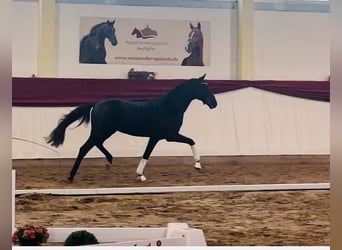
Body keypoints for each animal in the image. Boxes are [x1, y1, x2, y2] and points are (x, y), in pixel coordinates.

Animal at [46, 74, 216, 182]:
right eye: (204, 89)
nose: (214, 103)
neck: (170, 107)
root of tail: (96, 104)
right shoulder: (169, 135)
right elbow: (191, 140)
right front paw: (198, 164)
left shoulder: (155, 137)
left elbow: (146, 154)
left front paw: (140, 175)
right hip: (102, 131)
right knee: (84, 148)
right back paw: (71, 176)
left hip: (105, 131)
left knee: (97, 144)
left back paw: (109, 162)